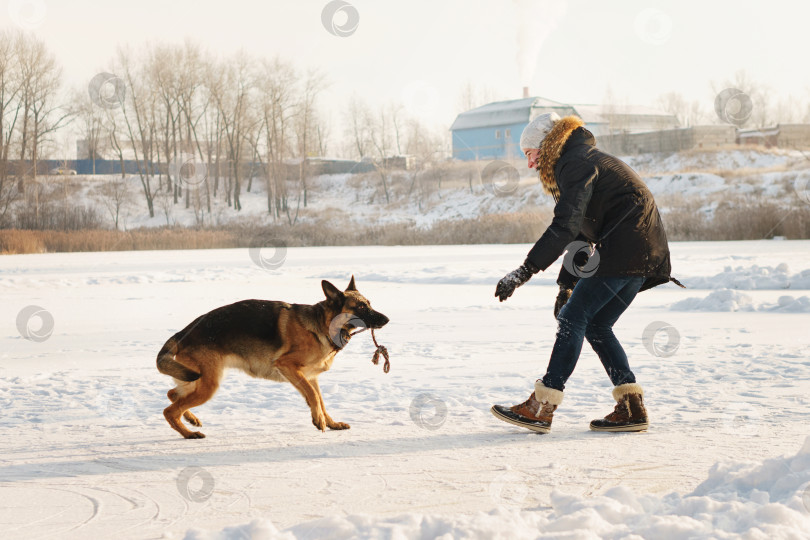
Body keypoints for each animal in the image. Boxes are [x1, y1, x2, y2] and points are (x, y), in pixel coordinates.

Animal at [157, 278, 388, 438]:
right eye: (360, 307)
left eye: (369, 303)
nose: (387, 319)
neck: (322, 325)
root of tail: (184, 332)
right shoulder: (288, 366)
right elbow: (314, 396)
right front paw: (319, 420)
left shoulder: (310, 377)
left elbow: (320, 399)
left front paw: (330, 422)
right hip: (208, 384)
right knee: (170, 411)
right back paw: (188, 434)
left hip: (195, 379)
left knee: (172, 395)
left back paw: (191, 419)